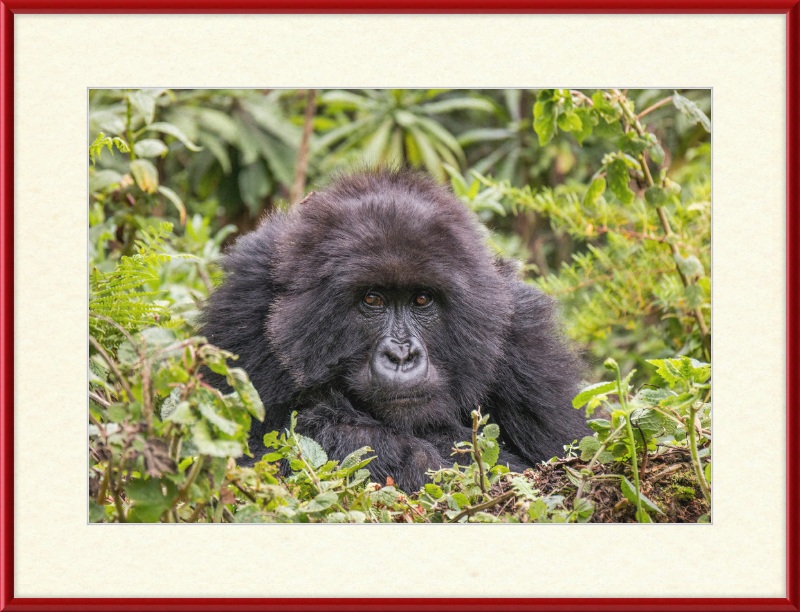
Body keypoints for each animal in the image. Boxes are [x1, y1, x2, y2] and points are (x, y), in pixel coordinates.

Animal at [200, 167, 588, 492]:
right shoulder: (243, 309)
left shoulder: (526, 339)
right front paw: (373, 443)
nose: (401, 355)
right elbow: (243, 463)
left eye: (421, 299)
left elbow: (563, 462)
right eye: (373, 299)